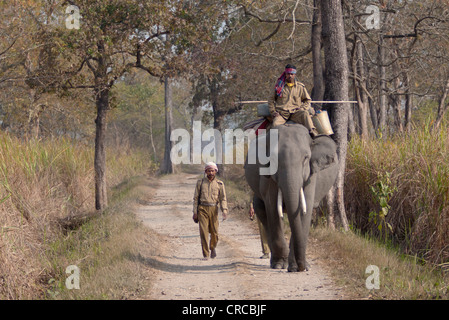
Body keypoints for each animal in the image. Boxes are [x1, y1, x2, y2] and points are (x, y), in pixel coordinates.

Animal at [245, 121, 336, 272]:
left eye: (306, 158)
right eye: (273, 159)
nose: (301, 267)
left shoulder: (311, 176)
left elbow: (305, 210)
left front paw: (296, 268)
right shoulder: (269, 178)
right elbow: (273, 209)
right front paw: (281, 265)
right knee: (261, 210)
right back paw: (275, 262)